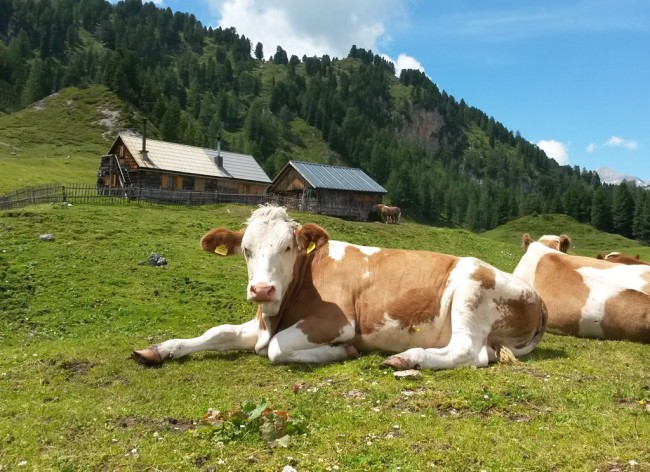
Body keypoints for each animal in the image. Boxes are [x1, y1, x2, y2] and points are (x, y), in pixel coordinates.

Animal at [133, 206, 547, 370]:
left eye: (288, 247)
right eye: (246, 249)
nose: (262, 290)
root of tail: (537, 297)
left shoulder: (338, 322)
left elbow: (277, 349)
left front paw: (342, 351)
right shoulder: (260, 323)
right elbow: (215, 332)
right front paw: (158, 349)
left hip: (469, 290)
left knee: (466, 351)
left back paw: (406, 358)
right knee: (482, 354)